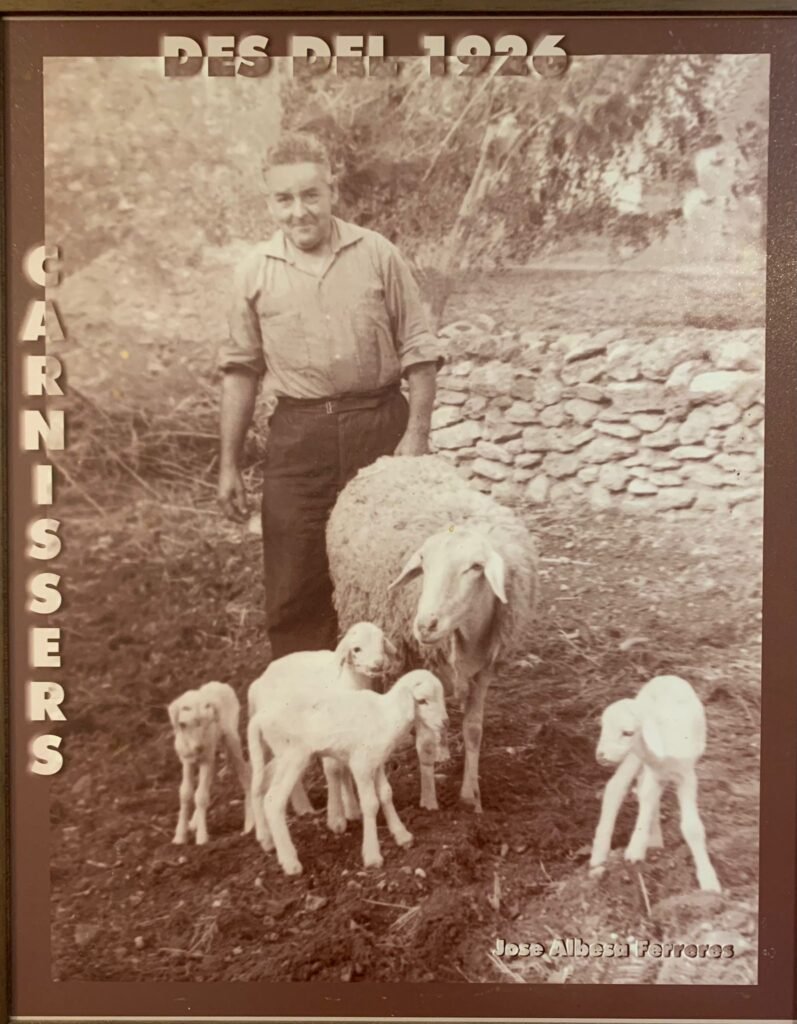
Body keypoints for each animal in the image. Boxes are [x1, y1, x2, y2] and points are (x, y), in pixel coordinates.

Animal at [168, 684, 252, 843]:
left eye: (208, 723)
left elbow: (200, 796)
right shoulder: (187, 760)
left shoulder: (206, 759)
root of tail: (220, 684)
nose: (198, 748)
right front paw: (179, 837)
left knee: (244, 772)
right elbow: (185, 793)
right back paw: (193, 823)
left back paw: (250, 825)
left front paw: (202, 838)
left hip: (231, 737)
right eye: (183, 725)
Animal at [323, 456, 540, 815]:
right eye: (423, 564)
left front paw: (471, 796)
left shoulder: (483, 670)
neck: (465, 634)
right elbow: (422, 742)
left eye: (476, 567)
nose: (424, 625)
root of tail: (395, 458)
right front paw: (428, 801)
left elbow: (473, 731)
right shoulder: (416, 663)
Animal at [581, 675, 721, 892]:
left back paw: (654, 841)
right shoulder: (652, 770)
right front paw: (635, 848)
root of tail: (665, 677)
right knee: (617, 787)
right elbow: (645, 798)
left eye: (627, 732)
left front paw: (709, 881)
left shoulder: (686, 776)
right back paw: (599, 855)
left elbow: (692, 827)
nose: (601, 756)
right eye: (603, 727)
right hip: (633, 756)